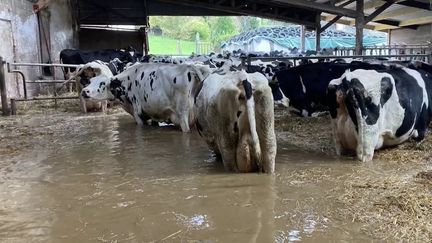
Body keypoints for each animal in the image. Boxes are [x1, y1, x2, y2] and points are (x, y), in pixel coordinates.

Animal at [82, 62, 210, 131]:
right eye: (91, 81)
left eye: (102, 83)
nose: (85, 91)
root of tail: (190, 67)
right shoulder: (153, 113)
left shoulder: (138, 114)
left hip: (183, 115)